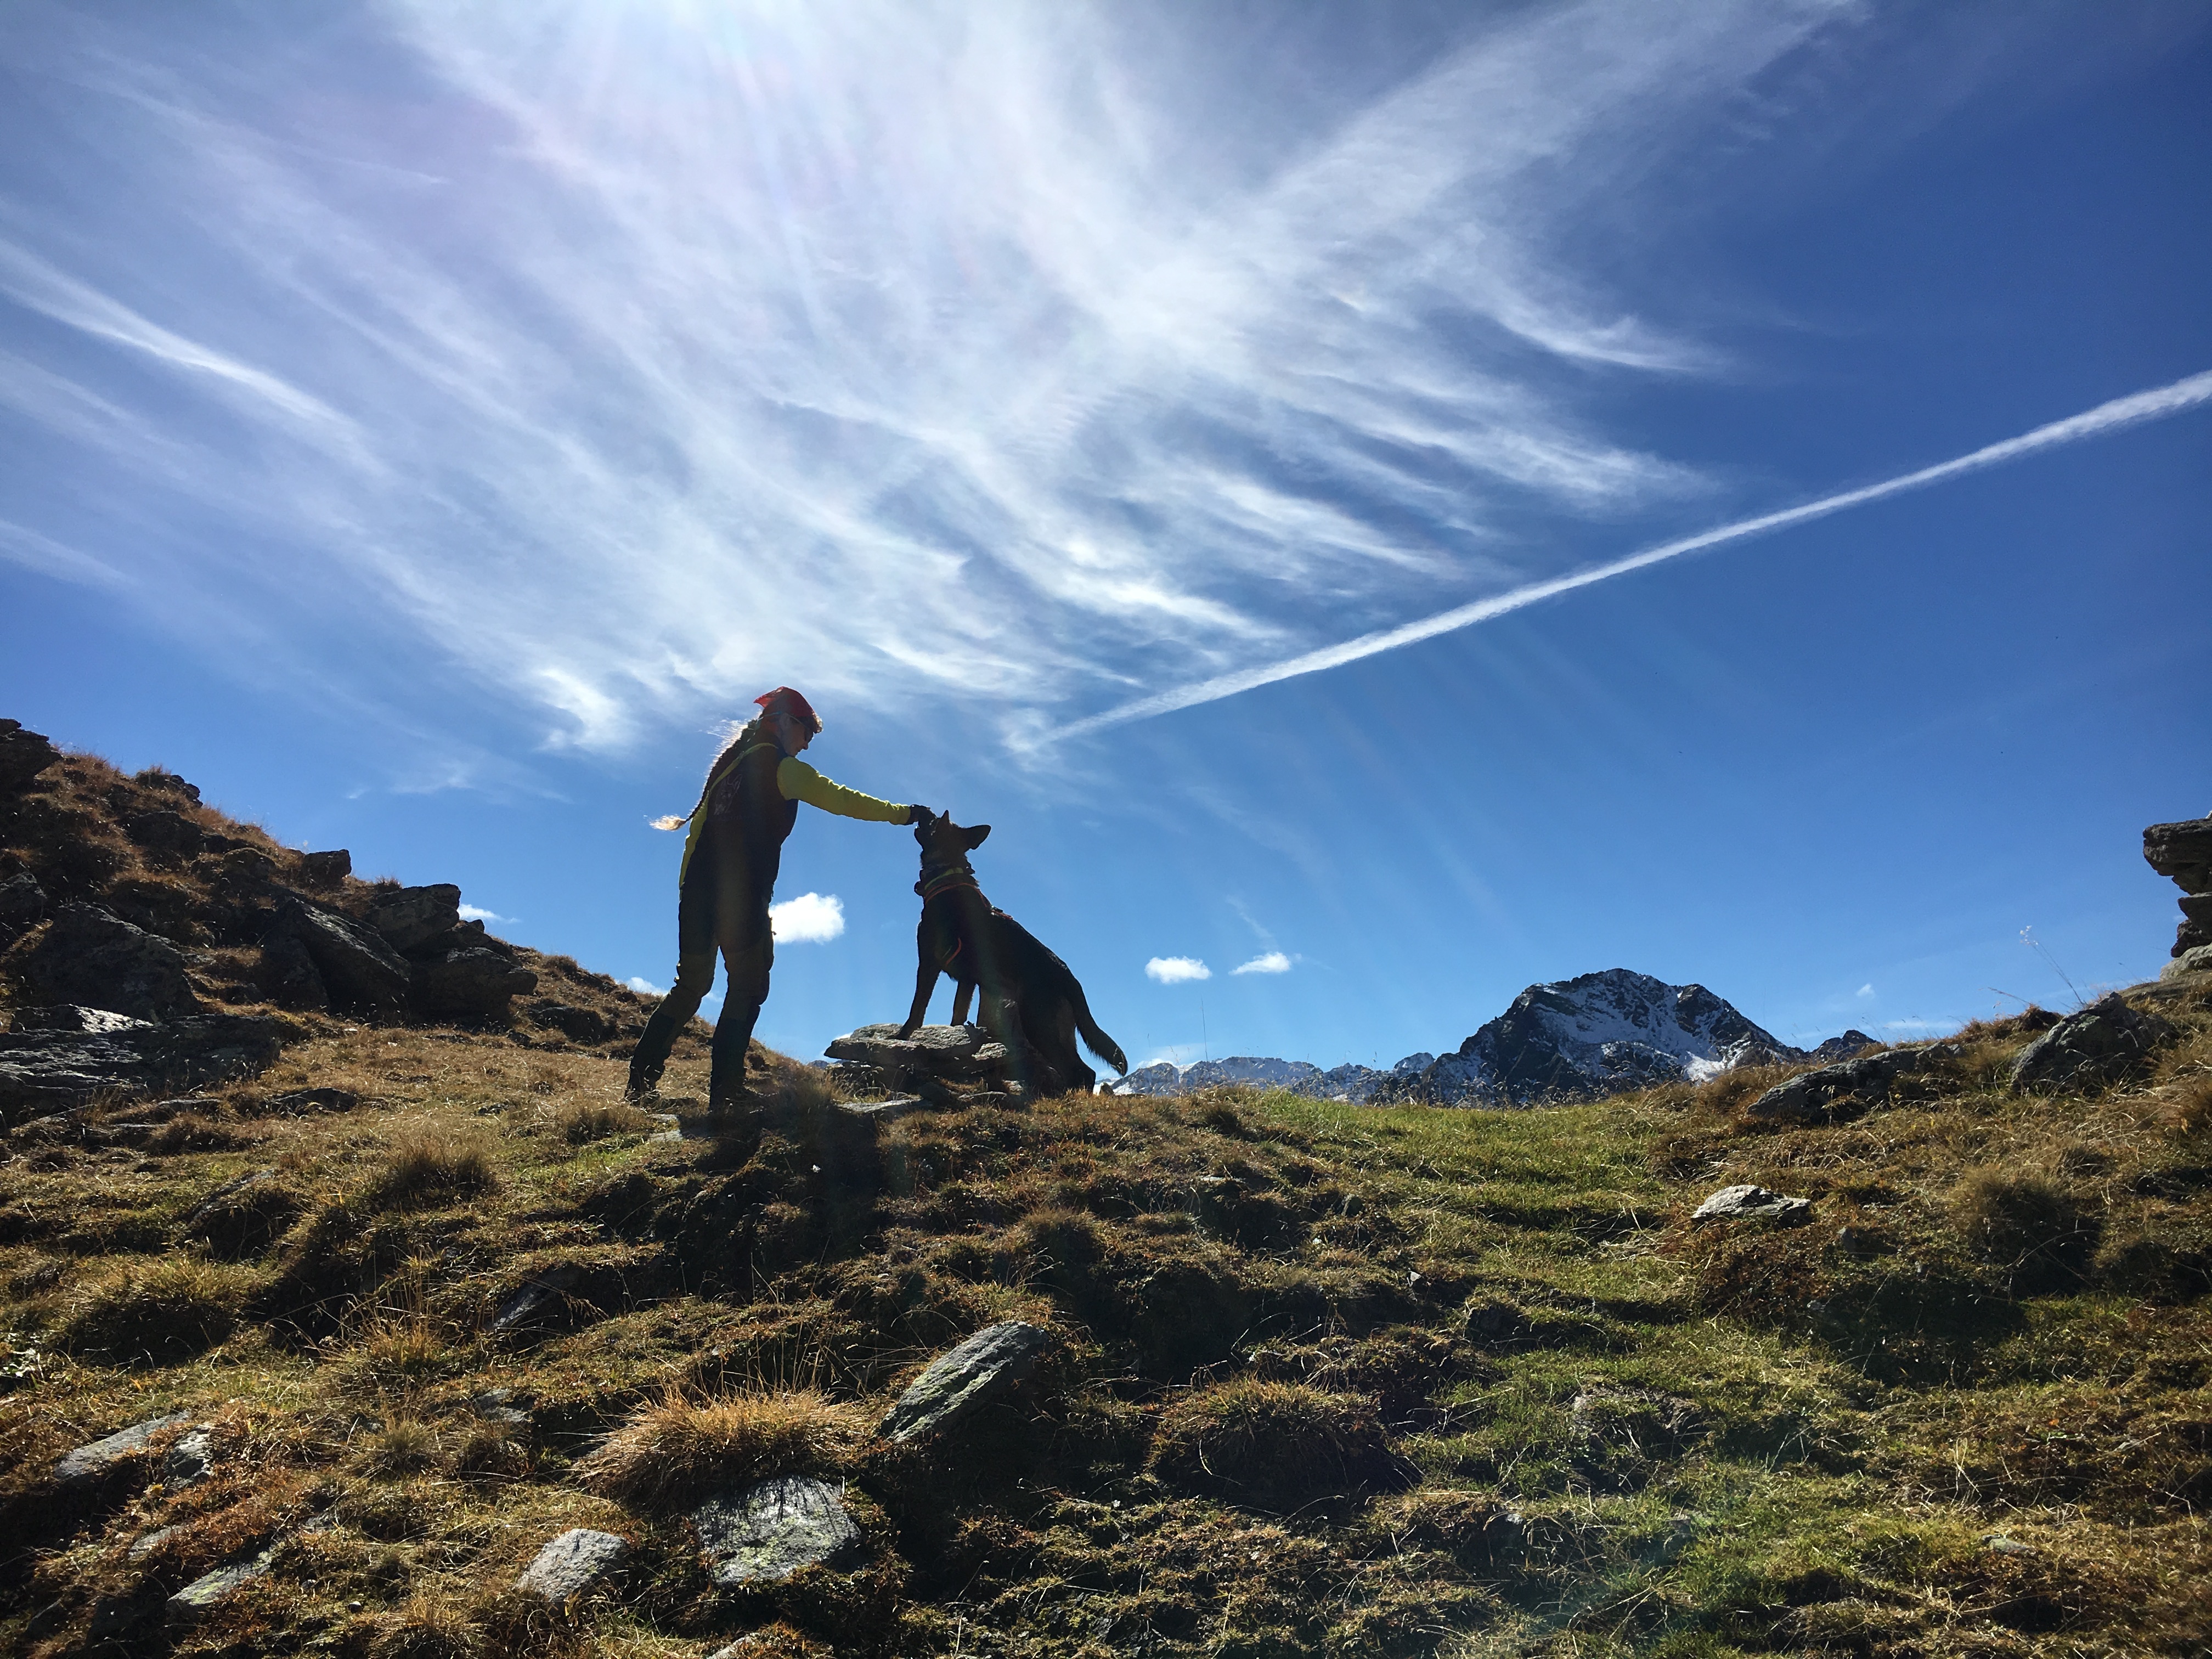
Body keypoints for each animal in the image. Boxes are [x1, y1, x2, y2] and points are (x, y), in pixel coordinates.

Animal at [898, 814, 1132, 1097]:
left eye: (932, 822)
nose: (921, 814)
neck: (947, 877)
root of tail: (1070, 978)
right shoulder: (968, 981)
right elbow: (958, 1015)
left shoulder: (928, 963)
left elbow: (917, 1009)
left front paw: (900, 1038)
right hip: (1058, 1028)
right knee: (1082, 1070)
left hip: (1039, 1024)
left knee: (1080, 1071)